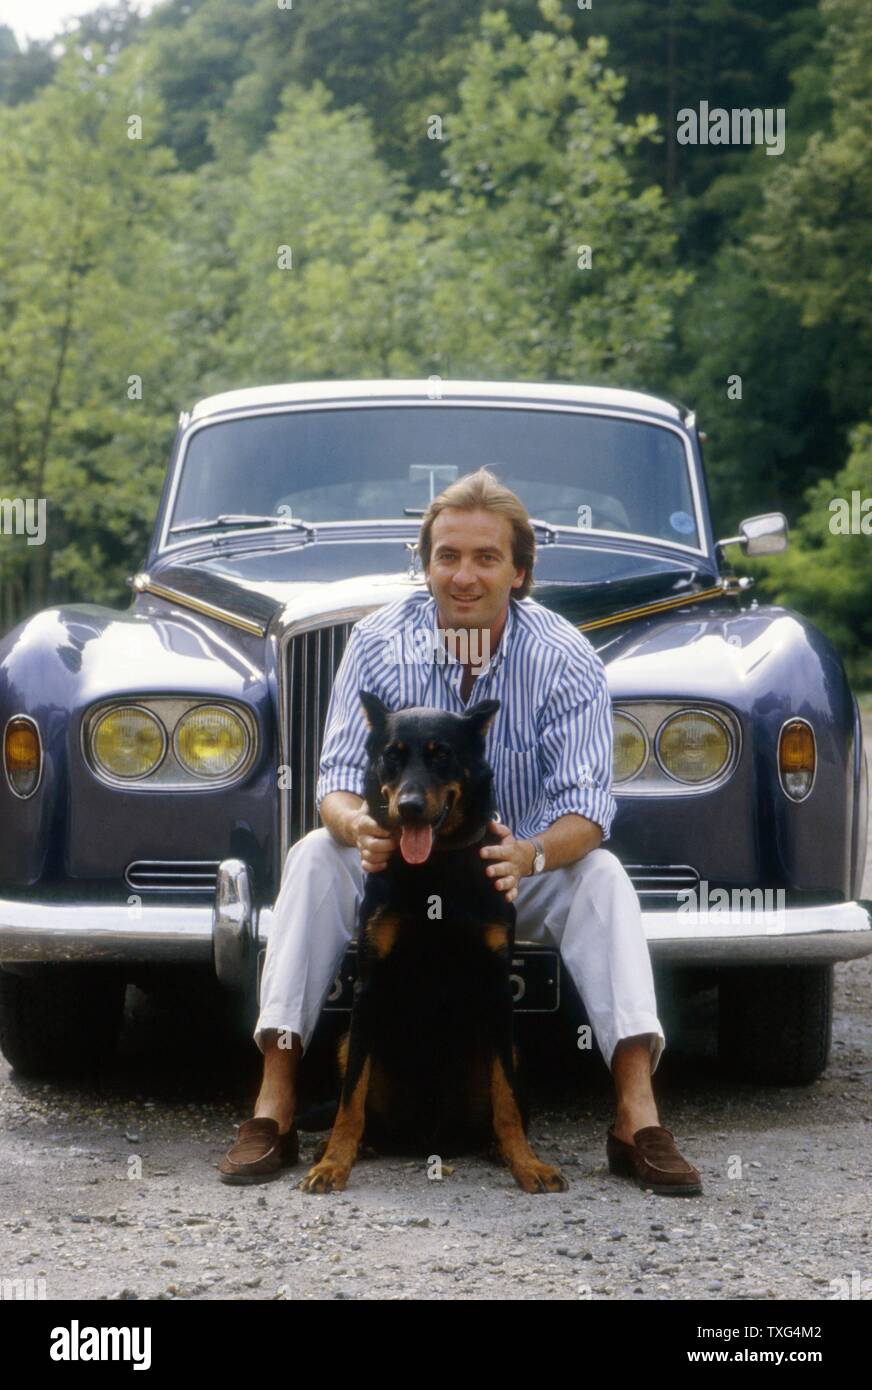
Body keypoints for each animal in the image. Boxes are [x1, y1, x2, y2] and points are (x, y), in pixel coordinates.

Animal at [303, 695, 570, 1195]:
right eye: (392, 755)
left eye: (441, 754)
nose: (408, 807)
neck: (435, 871)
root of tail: (429, 1138)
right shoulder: (369, 988)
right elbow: (351, 1099)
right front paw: (334, 1162)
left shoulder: (497, 989)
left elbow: (506, 1098)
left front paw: (526, 1162)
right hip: (348, 1040)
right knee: (359, 1101)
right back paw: (351, 1144)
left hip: (510, 1048)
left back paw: (498, 1147)